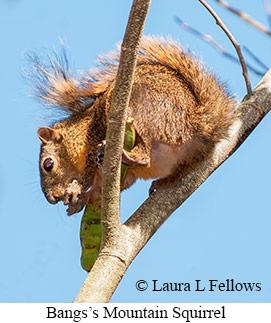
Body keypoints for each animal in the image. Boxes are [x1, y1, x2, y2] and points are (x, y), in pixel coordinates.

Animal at [32, 36, 240, 215]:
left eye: (48, 164)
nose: (53, 199)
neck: (78, 132)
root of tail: (194, 124)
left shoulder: (92, 138)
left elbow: (89, 173)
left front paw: (76, 189)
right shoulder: (125, 176)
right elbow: (117, 185)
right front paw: (80, 201)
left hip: (142, 112)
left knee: (145, 153)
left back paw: (131, 156)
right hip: (189, 158)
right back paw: (161, 182)